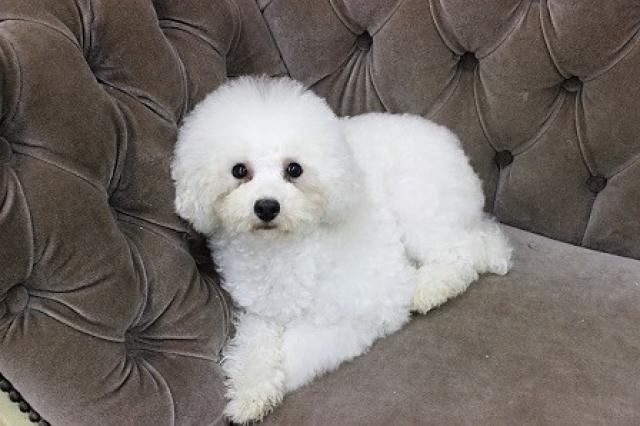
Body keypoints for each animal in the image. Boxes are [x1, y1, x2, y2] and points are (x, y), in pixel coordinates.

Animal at [171, 76, 512, 423]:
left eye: (294, 169)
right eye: (239, 171)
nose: (266, 206)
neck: (284, 247)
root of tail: (452, 145)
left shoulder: (367, 306)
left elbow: (301, 347)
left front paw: (271, 384)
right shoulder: (264, 311)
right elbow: (255, 345)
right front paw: (250, 392)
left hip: (418, 205)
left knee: (468, 251)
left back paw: (429, 288)